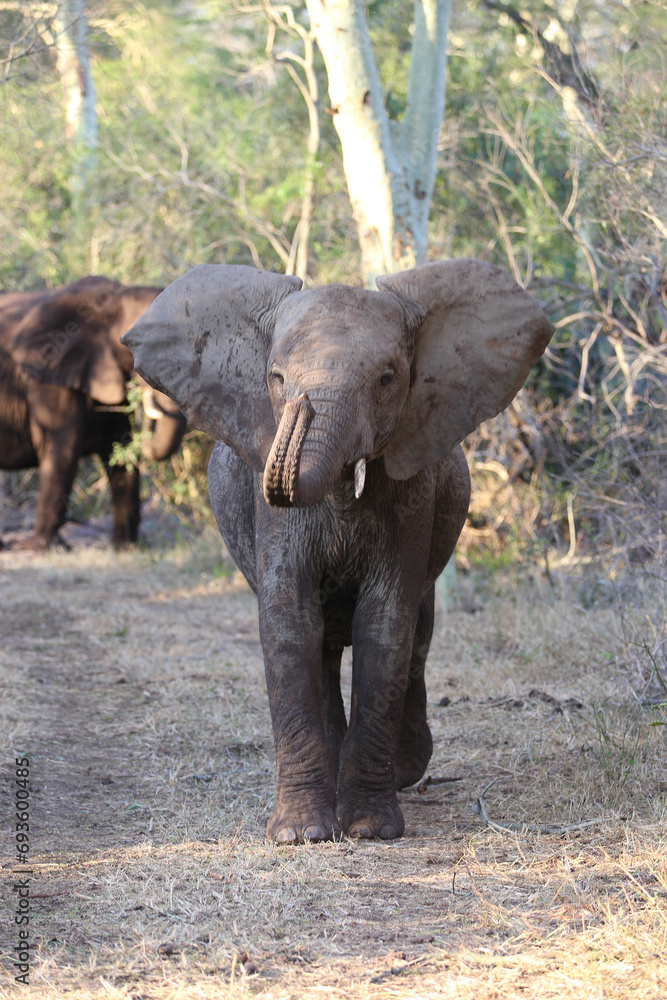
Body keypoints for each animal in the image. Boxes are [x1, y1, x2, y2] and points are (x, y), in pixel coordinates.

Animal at [0, 278, 187, 552]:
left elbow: (119, 448)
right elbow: (63, 451)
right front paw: (39, 547)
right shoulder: (47, 376)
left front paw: (125, 547)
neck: (115, 298)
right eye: (136, 345)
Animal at [122, 260, 556, 844]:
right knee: (327, 648)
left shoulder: (411, 489)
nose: (302, 407)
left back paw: (405, 770)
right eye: (277, 379)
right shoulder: (270, 506)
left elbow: (385, 625)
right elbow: (289, 622)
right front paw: (301, 835)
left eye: (387, 379)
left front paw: (371, 829)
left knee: (417, 636)